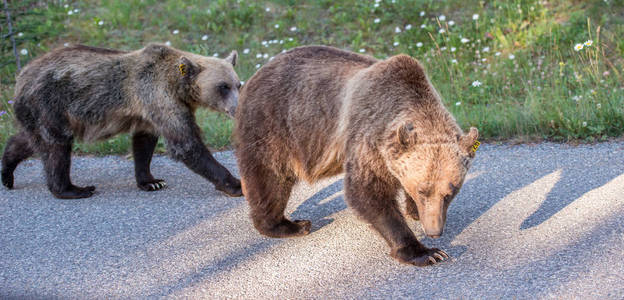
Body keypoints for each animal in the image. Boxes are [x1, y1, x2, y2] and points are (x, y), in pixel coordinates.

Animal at [1, 43, 243, 198]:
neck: (179, 87)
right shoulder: (159, 96)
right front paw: (236, 184)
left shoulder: (148, 111)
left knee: (30, 140)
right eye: (223, 86)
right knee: (56, 146)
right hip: (50, 103)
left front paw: (152, 181)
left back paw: (7, 172)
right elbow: (186, 144)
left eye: (238, 84)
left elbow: (144, 143)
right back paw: (73, 189)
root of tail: (21, 76)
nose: (237, 108)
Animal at [234, 45, 478, 266]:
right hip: (273, 126)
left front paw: (414, 211)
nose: (434, 231)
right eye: (422, 189)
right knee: (270, 179)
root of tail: (255, 75)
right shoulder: (369, 138)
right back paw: (290, 225)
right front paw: (426, 252)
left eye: (450, 191)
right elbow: (367, 192)